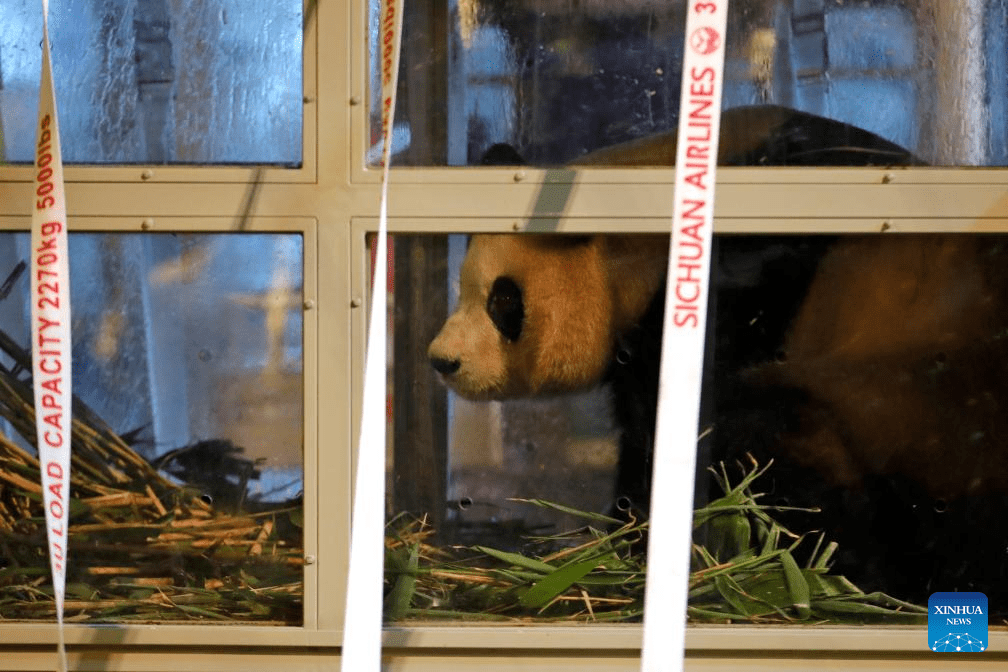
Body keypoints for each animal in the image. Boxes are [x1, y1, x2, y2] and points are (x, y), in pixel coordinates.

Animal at [425, 106, 1008, 608]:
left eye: (503, 302)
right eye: (464, 289)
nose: (442, 360)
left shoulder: (729, 300)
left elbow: (683, 432)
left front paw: (640, 548)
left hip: (911, 414)